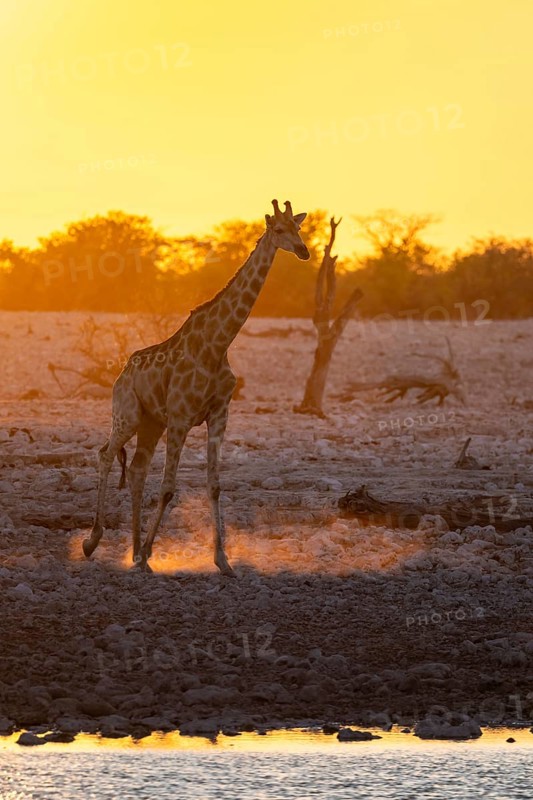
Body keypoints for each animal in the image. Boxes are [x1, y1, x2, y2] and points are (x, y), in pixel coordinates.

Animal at [82, 199, 310, 575]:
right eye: (279, 229)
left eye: (299, 228)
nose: (304, 251)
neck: (217, 344)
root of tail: (123, 372)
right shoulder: (181, 416)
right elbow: (168, 488)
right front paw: (149, 550)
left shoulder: (218, 414)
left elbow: (214, 485)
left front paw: (223, 561)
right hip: (128, 414)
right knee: (105, 454)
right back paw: (93, 542)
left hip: (151, 423)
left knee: (137, 470)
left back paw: (134, 554)